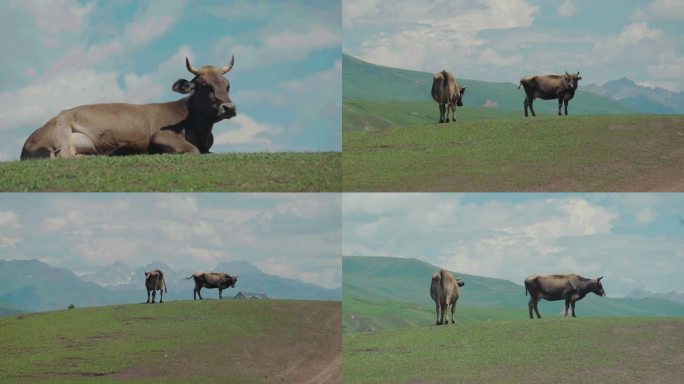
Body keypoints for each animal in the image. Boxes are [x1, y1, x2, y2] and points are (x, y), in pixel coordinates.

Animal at [20, 55, 238, 159]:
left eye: (227, 85)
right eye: (204, 85)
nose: (229, 107)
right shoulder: (160, 136)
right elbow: (192, 150)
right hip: (61, 129)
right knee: (63, 155)